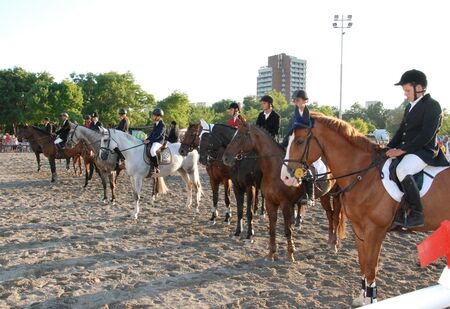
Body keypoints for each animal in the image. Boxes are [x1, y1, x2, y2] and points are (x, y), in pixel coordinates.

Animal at [221, 120, 344, 260]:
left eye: (239, 136)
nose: (225, 158)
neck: (274, 169)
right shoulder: (270, 203)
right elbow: (272, 228)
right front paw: (271, 254)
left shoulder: (286, 204)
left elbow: (287, 230)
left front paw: (290, 254)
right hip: (325, 196)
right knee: (330, 215)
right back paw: (329, 242)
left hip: (337, 195)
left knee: (336, 217)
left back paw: (334, 244)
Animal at [284, 110, 450, 304]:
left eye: (300, 141)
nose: (286, 176)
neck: (365, 175)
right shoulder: (359, 228)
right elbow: (363, 263)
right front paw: (362, 298)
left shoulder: (375, 230)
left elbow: (371, 267)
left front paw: (372, 301)